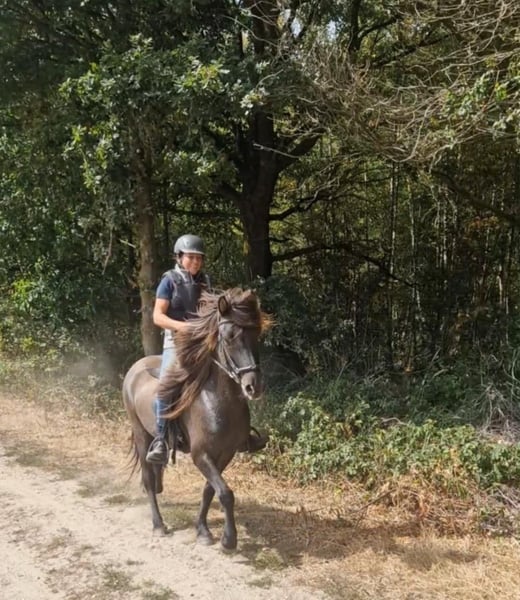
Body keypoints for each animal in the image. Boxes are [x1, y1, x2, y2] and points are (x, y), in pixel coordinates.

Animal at [122, 287, 271, 550]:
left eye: (257, 335)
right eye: (229, 336)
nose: (253, 386)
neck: (217, 402)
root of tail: (135, 367)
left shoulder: (225, 453)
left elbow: (209, 490)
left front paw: (202, 530)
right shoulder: (200, 454)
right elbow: (225, 492)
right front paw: (228, 539)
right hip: (140, 434)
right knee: (148, 479)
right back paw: (158, 525)